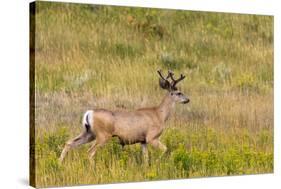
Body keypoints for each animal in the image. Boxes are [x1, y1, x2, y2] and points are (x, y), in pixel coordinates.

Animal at [58, 69, 189, 162]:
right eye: (179, 93)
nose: (188, 99)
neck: (159, 114)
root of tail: (89, 112)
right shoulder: (151, 137)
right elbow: (165, 149)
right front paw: (158, 162)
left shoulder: (143, 141)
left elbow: (145, 158)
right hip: (102, 135)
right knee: (90, 152)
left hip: (89, 133)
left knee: (69, 143)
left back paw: (59, 163)